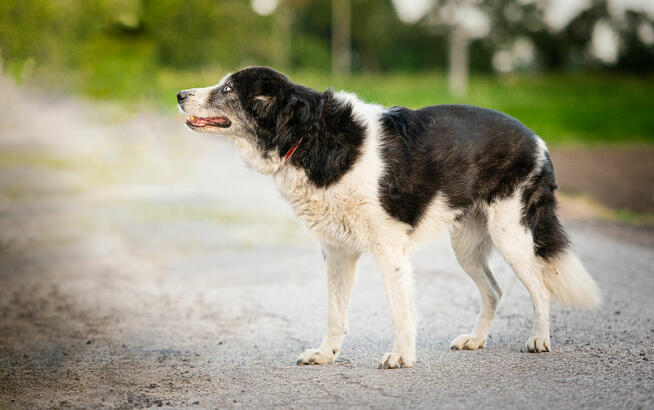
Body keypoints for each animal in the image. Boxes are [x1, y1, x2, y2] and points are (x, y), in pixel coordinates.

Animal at [177, 66, 604, 368]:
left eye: (228, 89)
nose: (180, 94)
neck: (310, 136)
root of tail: (538, 139)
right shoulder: (338, 252)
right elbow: (335, 313)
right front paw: (325, 355)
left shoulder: (389, 249)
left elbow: (400, 311)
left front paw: (401, 358)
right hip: (466, 245)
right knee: (494, 291)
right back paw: (475, 340)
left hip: (510, 234)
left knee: (540, 288)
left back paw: (539, 340)